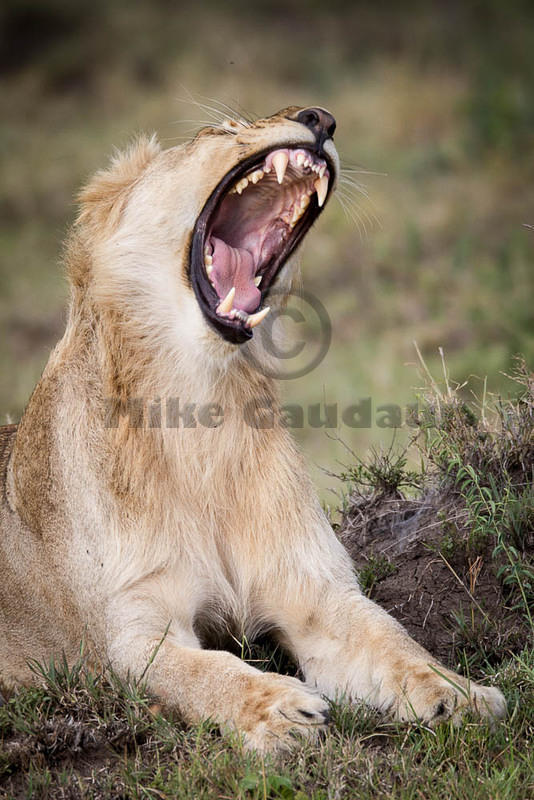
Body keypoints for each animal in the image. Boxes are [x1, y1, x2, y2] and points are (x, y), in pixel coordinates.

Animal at [0, 106, 506, 752]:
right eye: (220, 130)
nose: (320, 117)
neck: (203, 409)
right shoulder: (132, 633)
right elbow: (204, 671)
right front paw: (281, 711)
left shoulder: (317, 592)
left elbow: (395, 642)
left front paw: (459, 693)